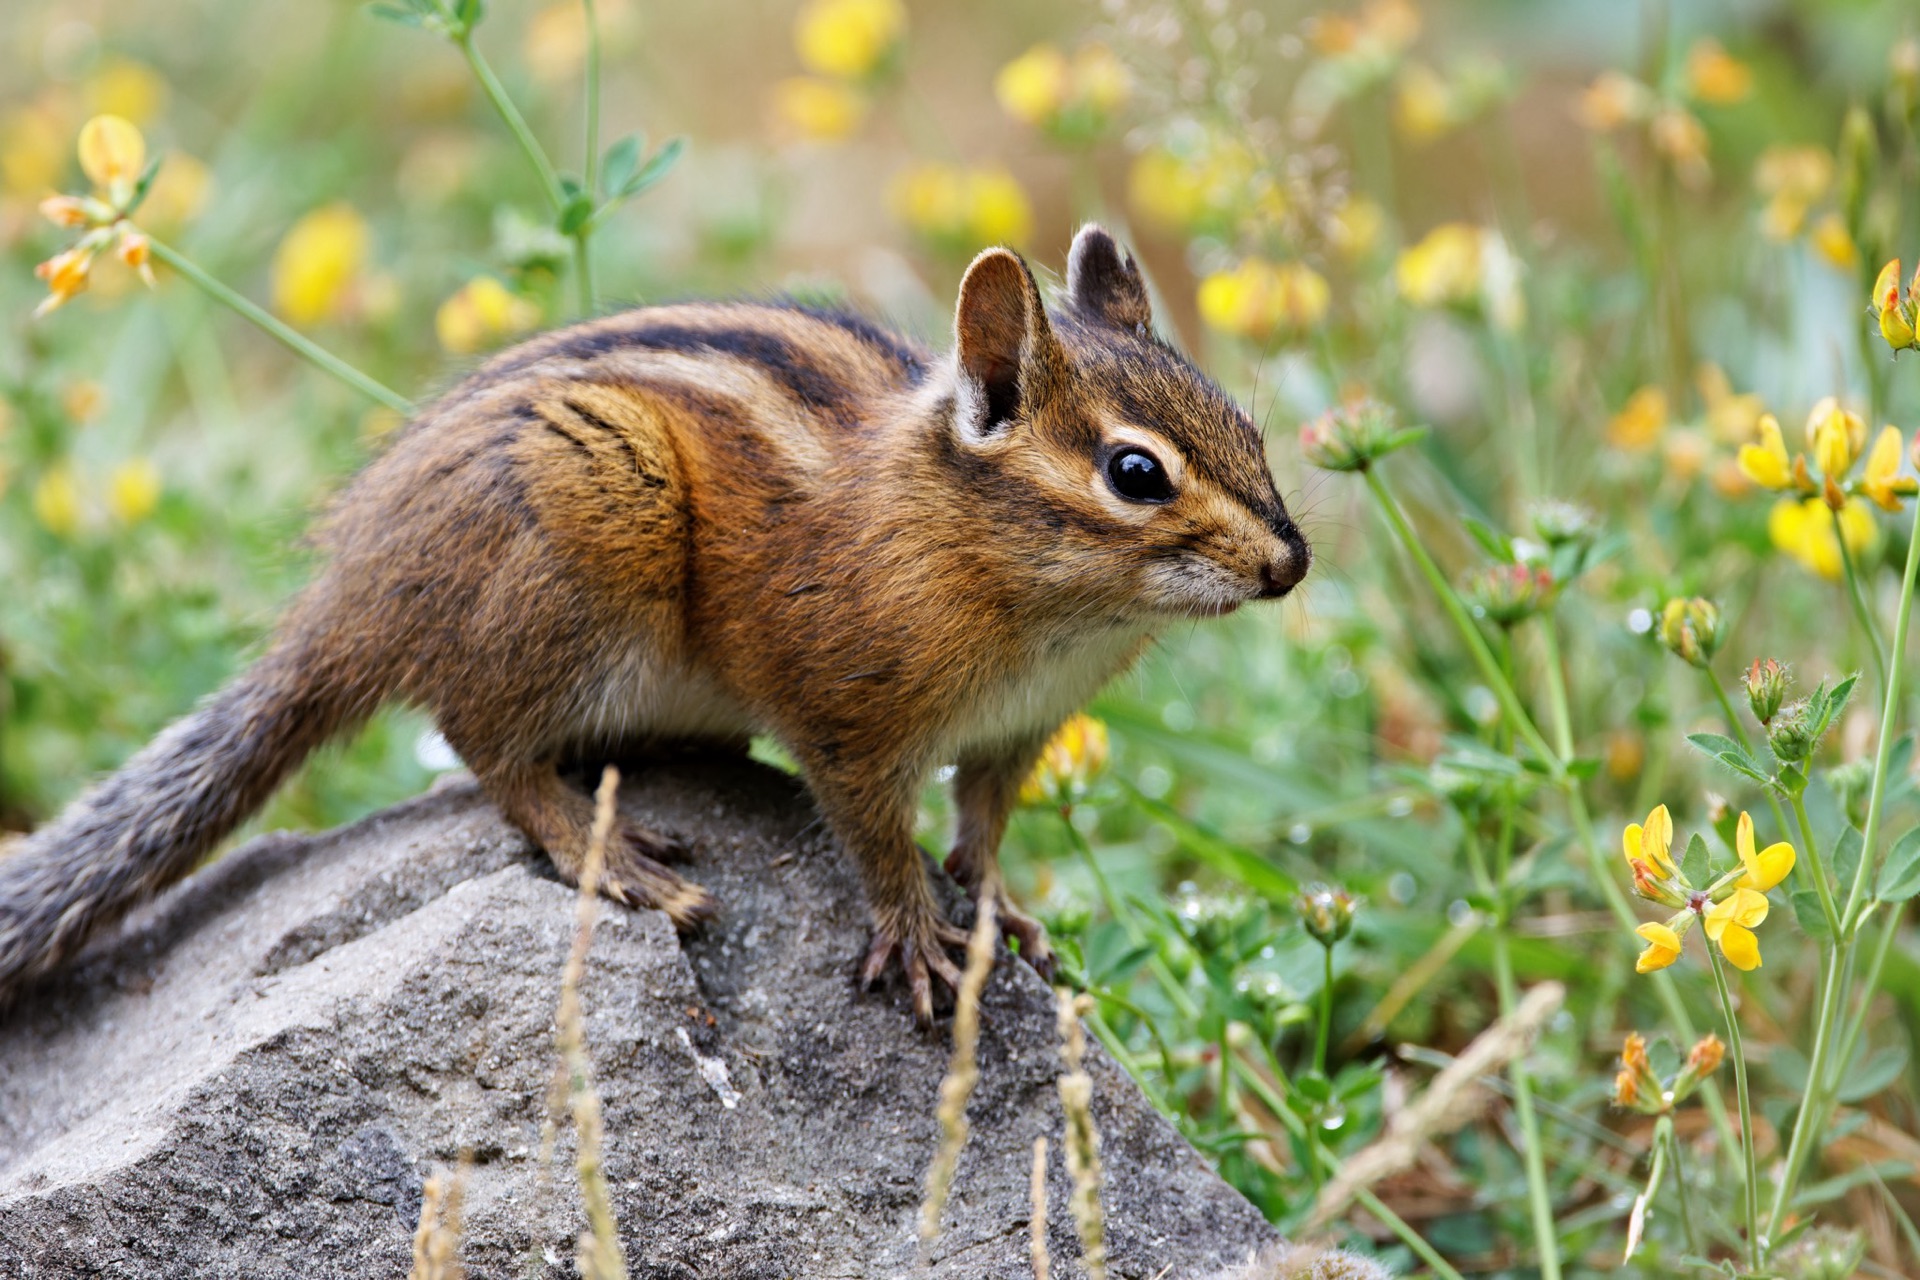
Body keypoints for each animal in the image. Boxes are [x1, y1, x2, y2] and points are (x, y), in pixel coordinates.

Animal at [0, 225, 1309, 1023]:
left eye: (1245, 423)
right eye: (1135, 473)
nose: (1291, 561)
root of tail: (348, 595)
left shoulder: (1014, 735)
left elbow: (980, 832)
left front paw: (1003, 914)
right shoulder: (846, 719)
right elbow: (878, 838)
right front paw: (918, 935)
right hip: (583, 546)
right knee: (488, 744)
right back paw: (609, 854)